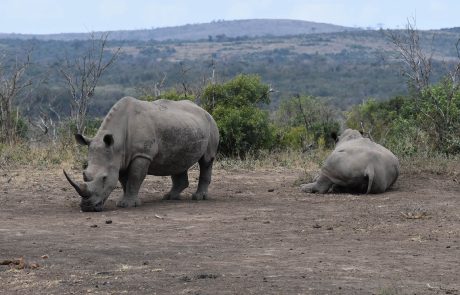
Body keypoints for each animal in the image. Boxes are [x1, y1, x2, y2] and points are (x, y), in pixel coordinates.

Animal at [63, 97, 219, 213]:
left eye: (104, 178)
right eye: (84, 175)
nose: (87, 207)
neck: (116, 143)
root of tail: (204, 110)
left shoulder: (142, 154)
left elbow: (135, 177)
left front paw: (128, 205)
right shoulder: (120, 158)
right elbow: (124, 180)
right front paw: (124, 202)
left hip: (211, 124)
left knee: (206, 161)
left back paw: (198, 198)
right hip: (184, 126)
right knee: (177, 161)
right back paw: (169, 197)